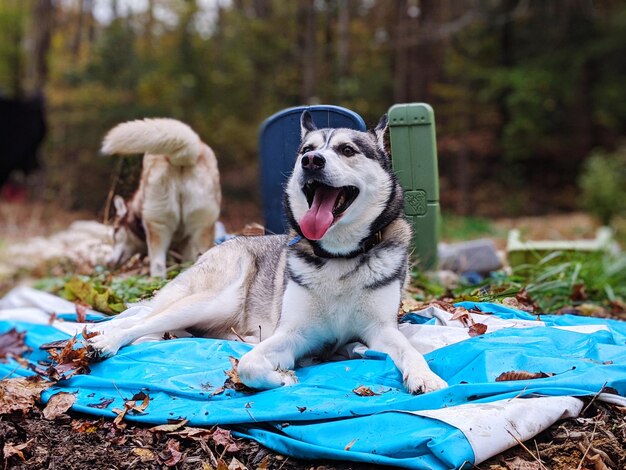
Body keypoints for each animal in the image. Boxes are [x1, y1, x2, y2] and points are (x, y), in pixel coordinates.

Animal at [102, 119, 219, 278]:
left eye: (115, 232)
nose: (108, 262)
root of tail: (183, 157)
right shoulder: (187, 246)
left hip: (158, 226)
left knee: (157, 265)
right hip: (203, 226)